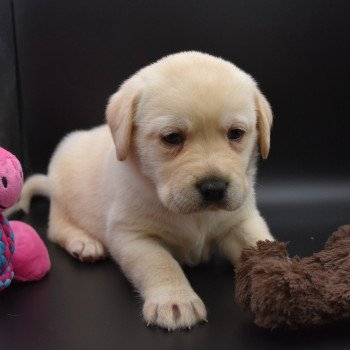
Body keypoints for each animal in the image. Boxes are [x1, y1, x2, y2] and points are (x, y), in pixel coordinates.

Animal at [18, 52, 274, 330]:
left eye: (236, 133)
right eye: (172, 138)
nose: (214, 188)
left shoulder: (240, 221)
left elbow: (261, 244)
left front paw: (281, 275)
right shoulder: (132, 235)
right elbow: (160, 263)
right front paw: (175, 300)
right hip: (63, 195)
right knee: (56, 228)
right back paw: (84, 243)